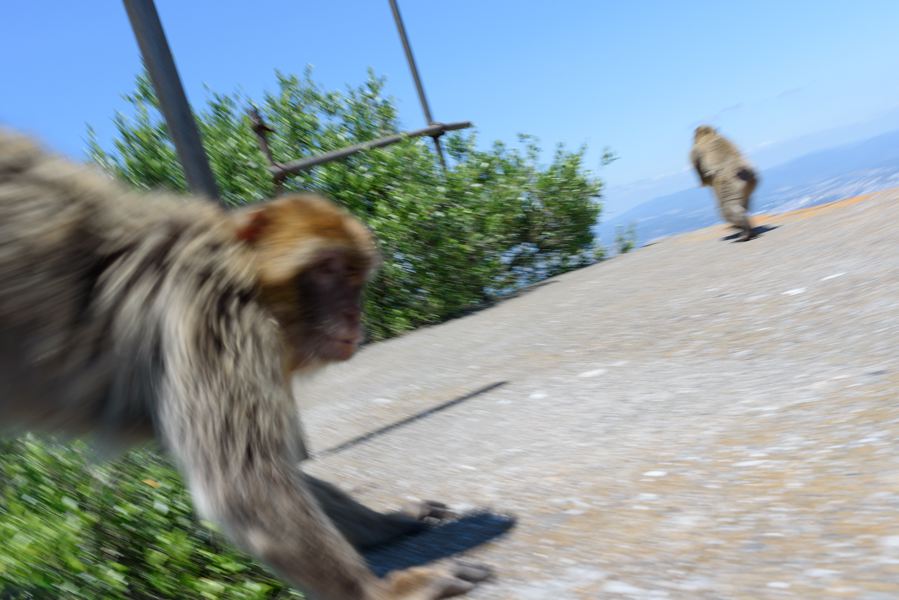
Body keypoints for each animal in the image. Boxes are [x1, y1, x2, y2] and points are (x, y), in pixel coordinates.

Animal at [0, 130, 492, 600]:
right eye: (327, 268)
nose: (353, 315)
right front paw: (382, 590)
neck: (243, 274)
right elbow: (243, 481)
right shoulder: (218, 319)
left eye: (353, 274)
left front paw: (390, 521)